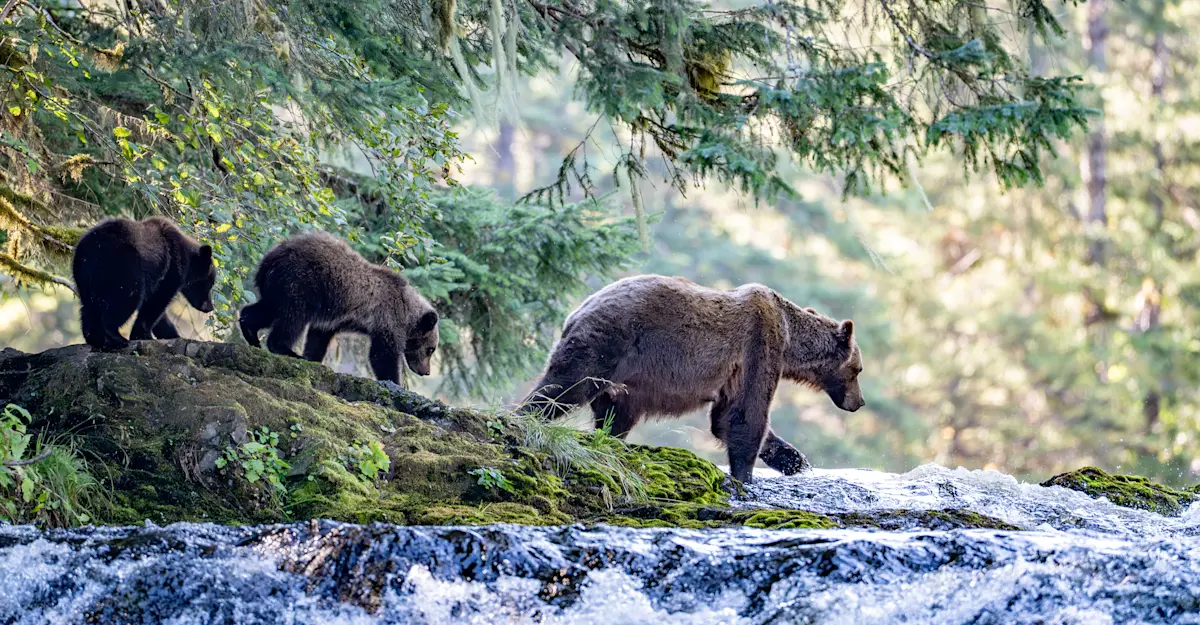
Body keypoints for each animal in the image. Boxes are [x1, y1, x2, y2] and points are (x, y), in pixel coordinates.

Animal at [72, 216, 216, 350]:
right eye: (210, 284)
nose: (210, 307)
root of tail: (92, 246)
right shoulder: (170, 268)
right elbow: (157, 301)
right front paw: (143, 334)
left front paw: (172, 334)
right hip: (124, 264)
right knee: (124, 299)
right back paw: (116, 338)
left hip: (84, 275)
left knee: (89, 307)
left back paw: (95, 337)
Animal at [238, 231, 440, 384]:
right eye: (431, 349)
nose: (426, 371)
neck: (407, 312)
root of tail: (269, 259)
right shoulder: (388, 318)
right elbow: (382, 355)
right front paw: (394, 381)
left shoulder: (334, 320)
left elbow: (318, 338)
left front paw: (313, 358)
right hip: (301, 282)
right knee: (292, 318)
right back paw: (286, 350)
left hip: (278, 287)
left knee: (267, 309)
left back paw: (250, 332)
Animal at [517, 274, 865, 484]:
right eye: (858, 370)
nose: (859, 402)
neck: (791, 338)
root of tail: (575, 312)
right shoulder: (760, 346)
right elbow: (745, 415)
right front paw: (746, 474)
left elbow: (726, 416)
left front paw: (795, 461)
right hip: (606, 344)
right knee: (563, 388)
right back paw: (525, 419)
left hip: (622, 378)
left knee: (614, 415)